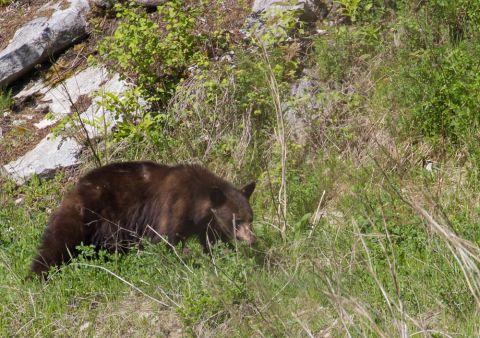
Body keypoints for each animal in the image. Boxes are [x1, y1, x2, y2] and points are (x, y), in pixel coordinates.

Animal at [31, 162, 255, 278]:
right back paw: (38, 274)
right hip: (88, 215)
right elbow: (165, 239)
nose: (252, 239)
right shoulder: (173, 205)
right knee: (58, 242)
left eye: (251, 218)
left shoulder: (206, 224)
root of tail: (73, 190)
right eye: (237, 220)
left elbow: (212, 241)